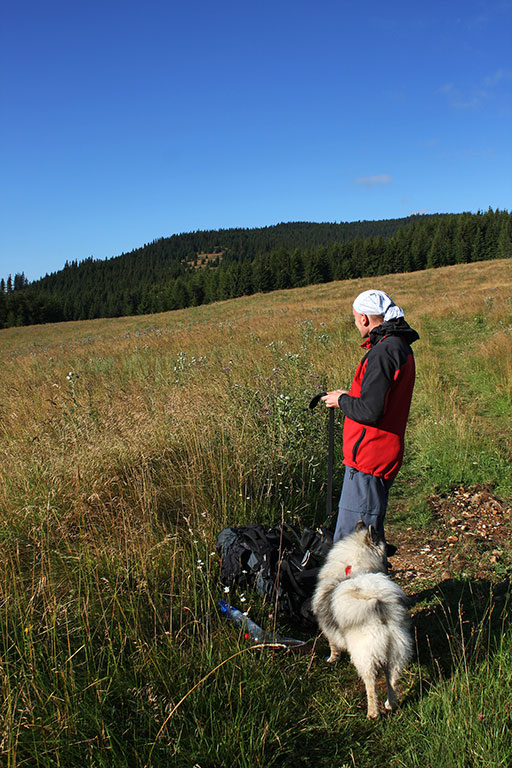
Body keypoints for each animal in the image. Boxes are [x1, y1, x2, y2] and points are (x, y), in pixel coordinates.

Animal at [312, 520, 412, 720]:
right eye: (386, 543)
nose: (396, 548)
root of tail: (380, 610)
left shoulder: (328, 630)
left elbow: (333, 646)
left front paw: (332, 659)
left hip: (366, 657)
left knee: (371, 685)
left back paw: (373, 713)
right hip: (395, 652)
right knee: (392, 681)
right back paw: (391, 704)